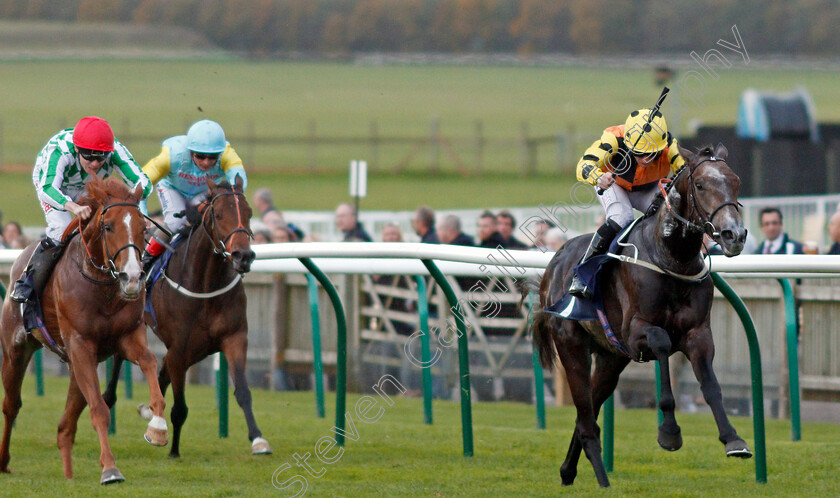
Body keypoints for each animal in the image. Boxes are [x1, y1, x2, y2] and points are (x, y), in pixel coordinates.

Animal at [0, 177, 167, 484]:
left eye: (143, 228)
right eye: (108, 226)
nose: (132, 278)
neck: (102, 286)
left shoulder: (127, 337)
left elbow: (150, 362)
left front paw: (158, 428)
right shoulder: (80, 345)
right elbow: (100, 410)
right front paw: (110, 469)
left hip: (74, 368)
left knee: (65, 427)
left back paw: (68, 476)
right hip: (17, 351)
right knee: (11, 405)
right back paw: (4, 460)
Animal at [104, 177, 268, 458]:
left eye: (248, 214)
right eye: (218, 214)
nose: (243, 256)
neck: (206, 284)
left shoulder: (234, 338)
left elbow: (243, 391)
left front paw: (258, 439)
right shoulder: (180, 348)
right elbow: (179, 407)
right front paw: (173, 450)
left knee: (162, 372)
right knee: (119, 363)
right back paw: (111, 399)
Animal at [528, 144, 752, 486]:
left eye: (736, 182)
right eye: (701, 185)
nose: (734, 235)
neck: (670, 257)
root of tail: (555, 263)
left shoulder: (698, 332)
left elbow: (711, 385)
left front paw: (733, 439)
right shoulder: (635, 332)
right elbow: (662, 345)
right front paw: (669, 432)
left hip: (610, 359)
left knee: (587, 414)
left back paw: (568, 471)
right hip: (571, 345)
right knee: (585, 420)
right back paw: (602, 481)